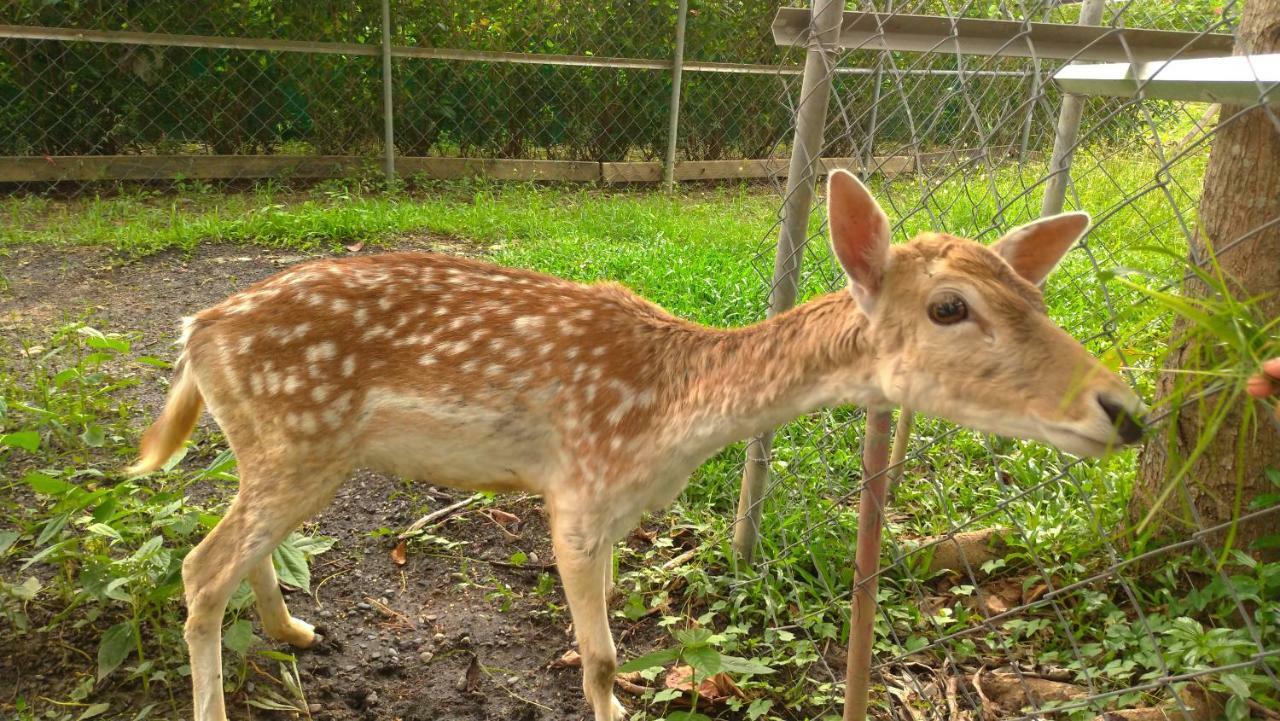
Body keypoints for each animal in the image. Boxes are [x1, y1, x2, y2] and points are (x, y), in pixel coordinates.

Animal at [129, 171, 1146, 721]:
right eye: (948, 307)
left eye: (1036, 297)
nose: (1124, 409)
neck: (673, 416)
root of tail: (193, 331)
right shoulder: (577, 491)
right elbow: (607, 653)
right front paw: (612, 700)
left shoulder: (617, 506)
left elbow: (608, 630)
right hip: (296, 436)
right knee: (200, 566)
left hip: (288, 449)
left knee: (244, 549)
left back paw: (294, 630)